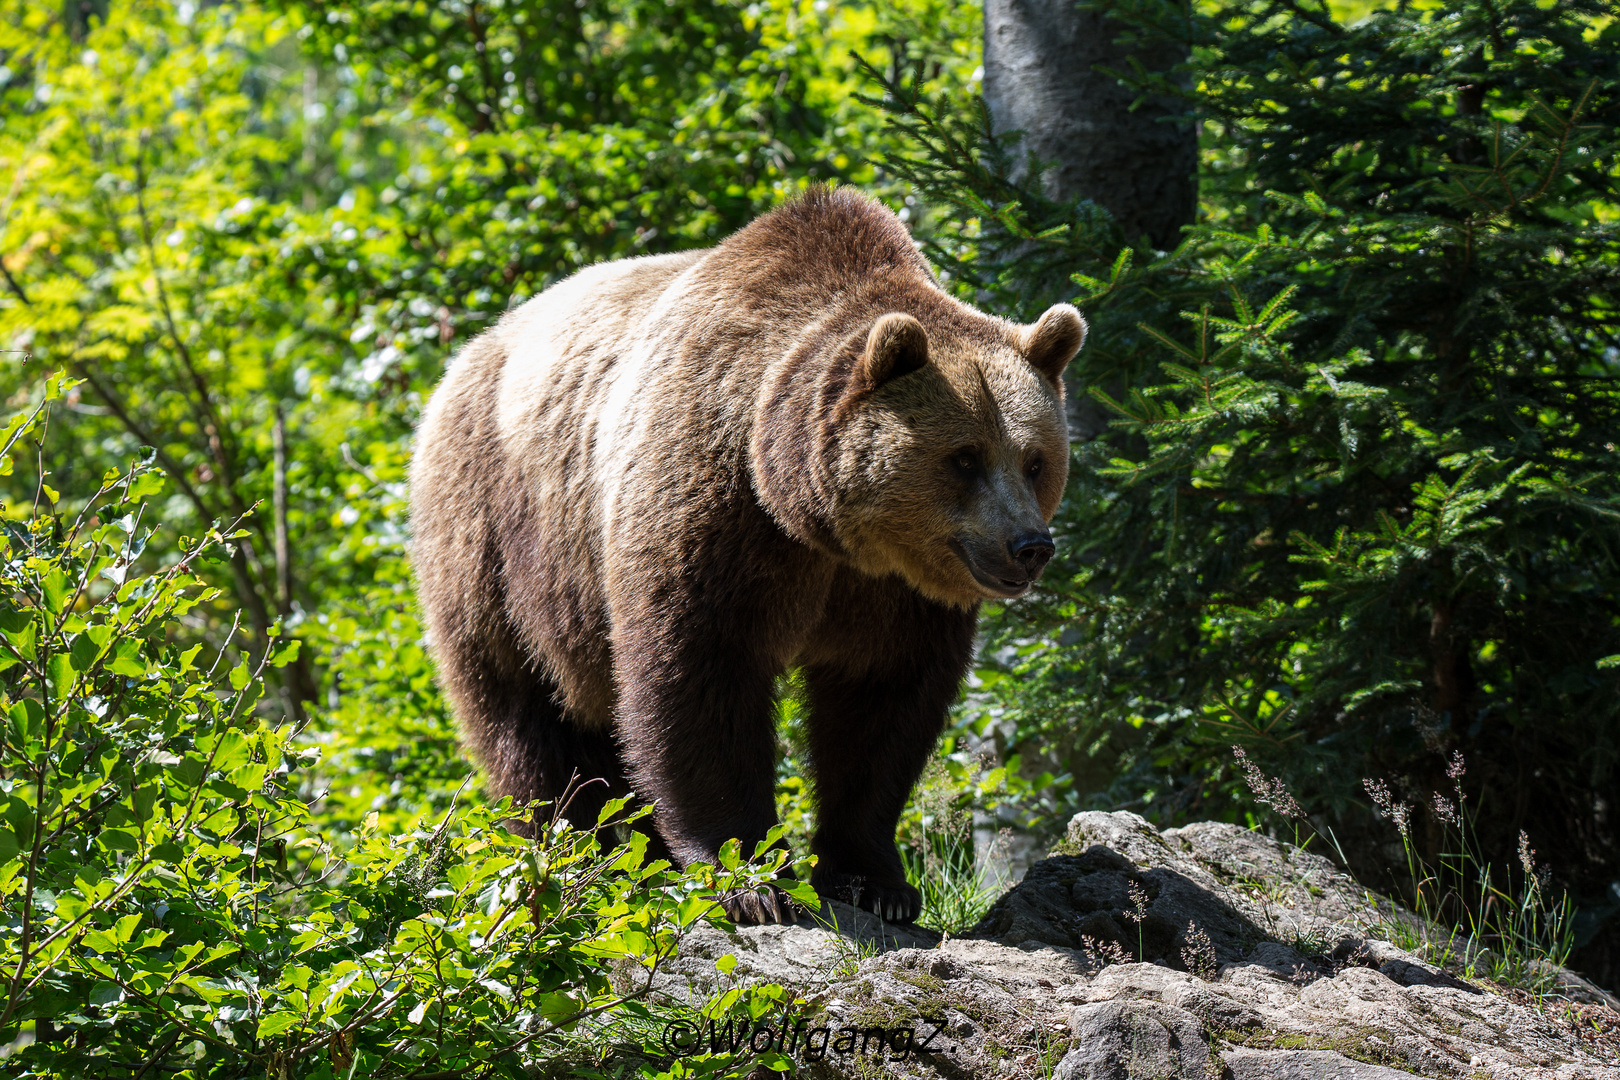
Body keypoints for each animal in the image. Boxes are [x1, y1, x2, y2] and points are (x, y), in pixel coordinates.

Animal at [411, 183, 1082, 919]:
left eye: (1035, 460)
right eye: (964, 458)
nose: (1030, 546)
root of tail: (463, 361)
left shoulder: (894, 588)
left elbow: (882, 701)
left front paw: (876, 880)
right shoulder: (715, 504)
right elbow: (700, 672)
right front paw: (752, 880)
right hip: (494, 538)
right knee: (526, 711)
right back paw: (583, 851)